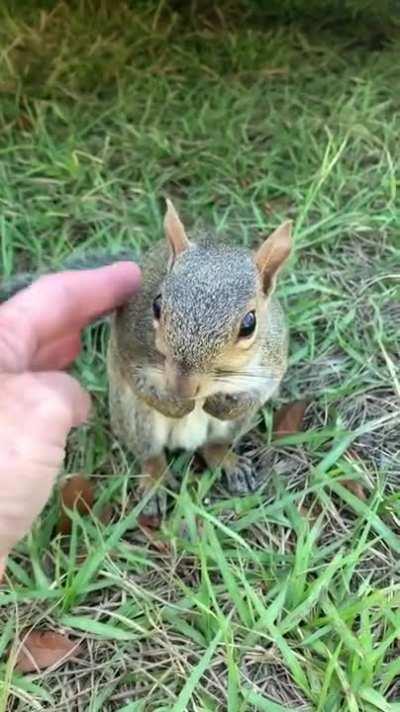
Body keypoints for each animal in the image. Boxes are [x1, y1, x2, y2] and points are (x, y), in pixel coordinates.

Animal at [1, 200, 293, 521]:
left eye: (249, 324)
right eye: (157, 305)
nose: (182, 388)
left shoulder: (272, 361)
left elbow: (259, 393)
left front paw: (219, 405)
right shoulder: (131, 351)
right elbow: (140, 383)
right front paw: (178, 406)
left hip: (231, 428)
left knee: (213, 445)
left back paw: (229, 462)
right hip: (134, 419)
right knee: (150, 455)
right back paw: (155, 483)